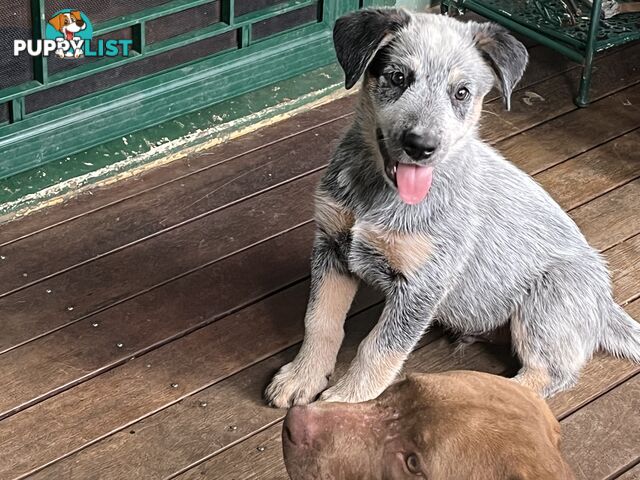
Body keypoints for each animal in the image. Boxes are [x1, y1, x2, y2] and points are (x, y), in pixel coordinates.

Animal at [262, 8, 636, 404]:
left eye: (461, 93)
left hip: (546, 303)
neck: (377, 194)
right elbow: (320, 320)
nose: (421, 145)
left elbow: (379, 348)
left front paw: (344, 403)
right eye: (398, 77)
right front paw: (303, 375)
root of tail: (605, 305)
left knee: (548, 375)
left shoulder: (424, 283)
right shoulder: (333, 247)